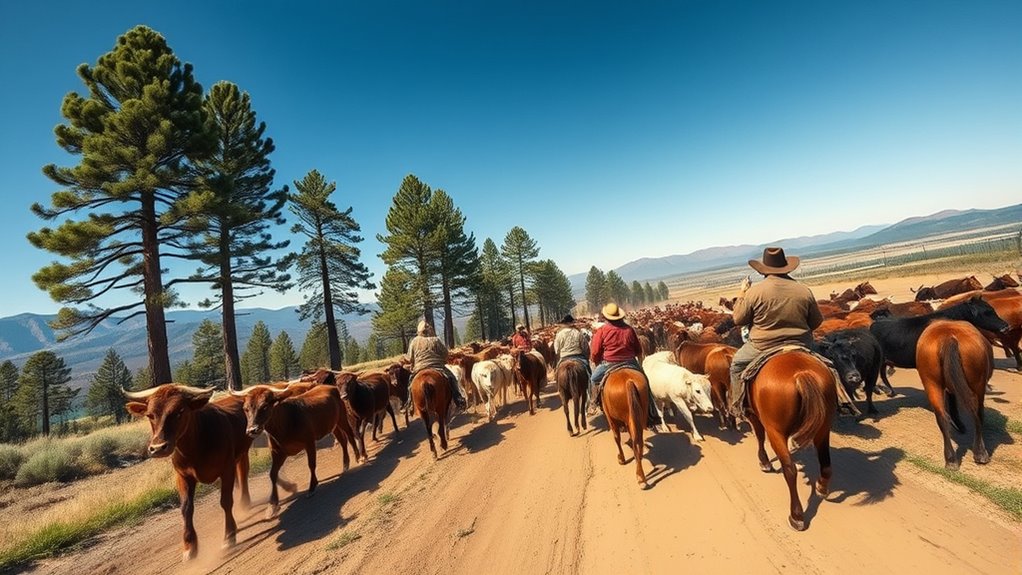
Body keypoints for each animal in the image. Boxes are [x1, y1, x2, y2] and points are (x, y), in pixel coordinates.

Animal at [124, 385, 252, 562]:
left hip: (242, 452)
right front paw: (189, 546)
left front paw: (229, 536)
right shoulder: (183, 476)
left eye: (179, 411)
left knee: (243, 472)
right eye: (150, 415)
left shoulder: (227, 468)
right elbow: (186, 508)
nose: (157, 448)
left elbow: (226, 501)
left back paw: (246, 502)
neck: (195, 447)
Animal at [234, 384, 356, 518]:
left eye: (264, 406)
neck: (285, 423)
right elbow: (272, 474)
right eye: (246, 409)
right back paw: (345, 464)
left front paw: (312, 486)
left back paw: (359, 456)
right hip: (332, 425)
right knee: (342, 440)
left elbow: (311, 464)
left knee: (350, 435)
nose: (252, 430)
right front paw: (272, 505)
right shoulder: (278, 453)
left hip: (342, 418)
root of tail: (329, 386)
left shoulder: (309, 442)